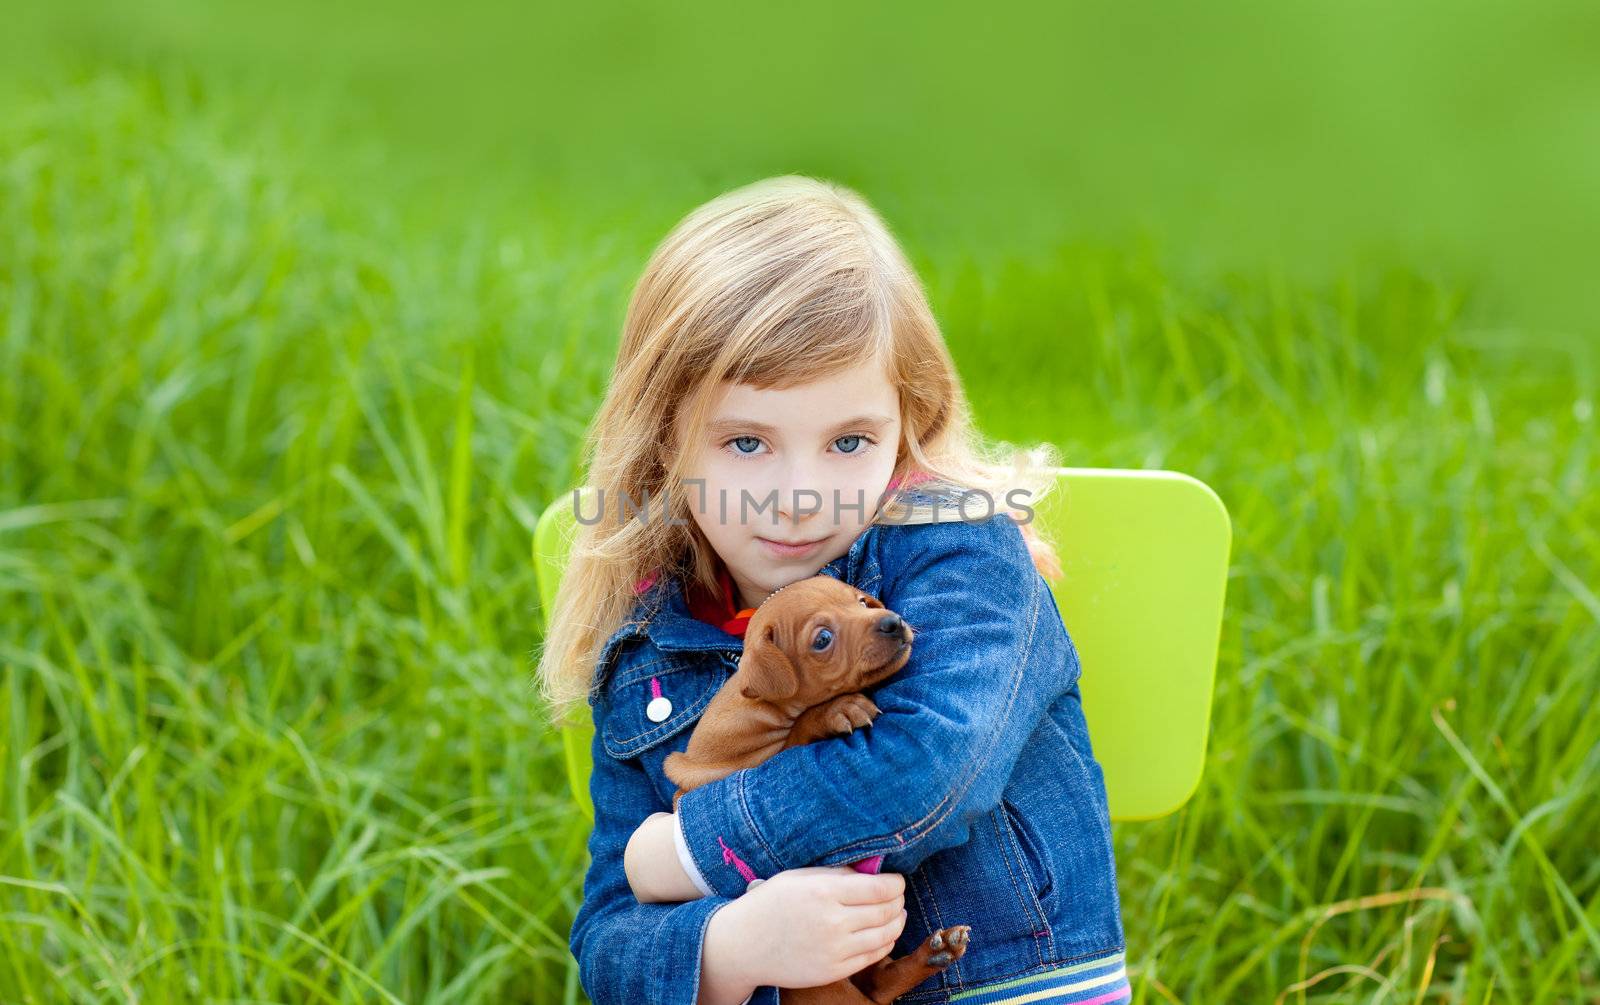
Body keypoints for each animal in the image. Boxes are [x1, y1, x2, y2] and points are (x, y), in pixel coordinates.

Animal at [656, 576, 966, 998]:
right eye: (822, 639)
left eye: (862, 603)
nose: (893, 621)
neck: (764, 710)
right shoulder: (740, 770)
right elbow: (798, 734)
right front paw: (837, 710)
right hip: (823, 990)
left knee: (880, 983)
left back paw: (935, 953)